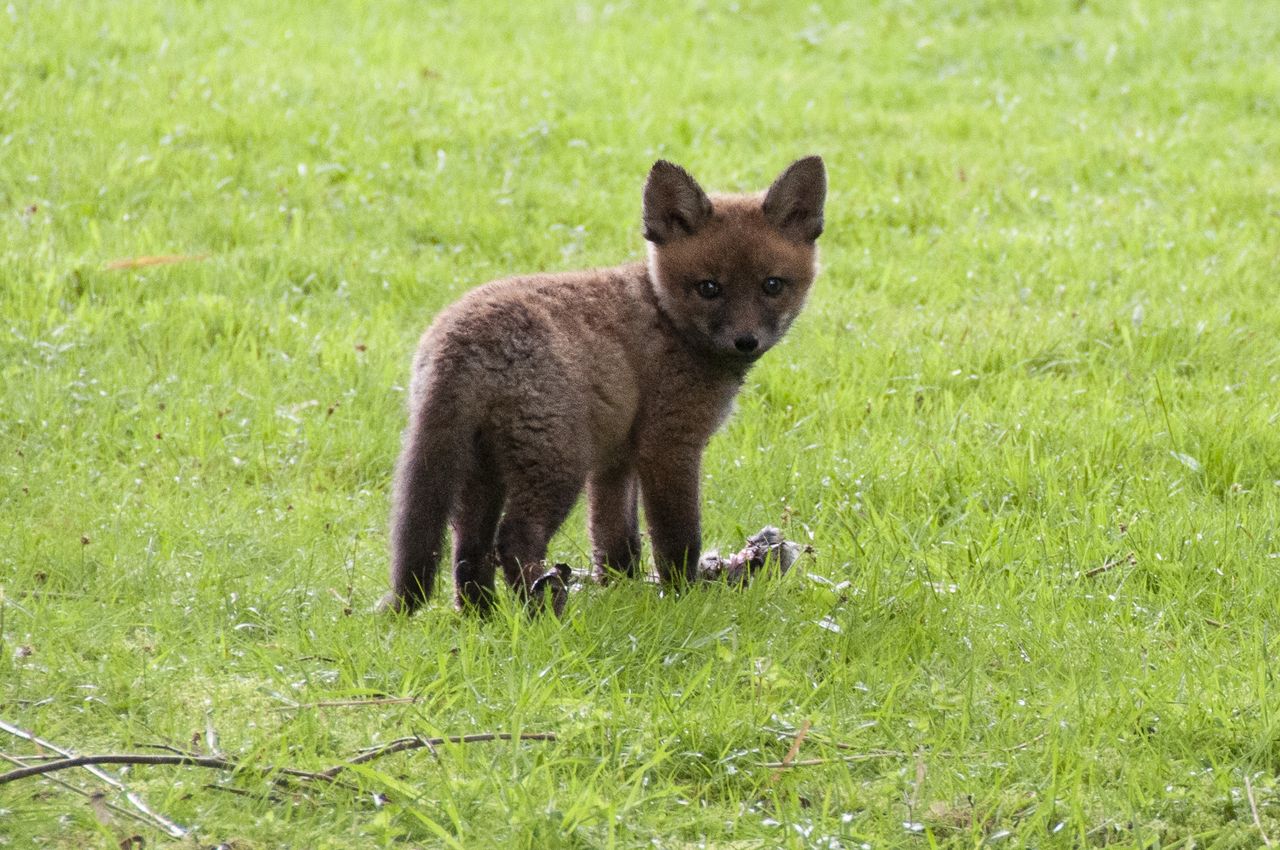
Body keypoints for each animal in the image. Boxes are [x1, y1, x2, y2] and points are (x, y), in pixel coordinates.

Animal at [379, 155, 826, 615]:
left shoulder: (616, 462)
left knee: (468, 551)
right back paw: (543, 610)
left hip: (483, 474)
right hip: (558, 463)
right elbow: (677, 539)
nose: (746, 341)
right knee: (513, 539)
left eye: (772, 285)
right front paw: (682, 600)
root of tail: (459, 338)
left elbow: (616, 543)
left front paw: (623, 595)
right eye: (708, 288)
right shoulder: (668, 447)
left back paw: (483, 618)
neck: (665, 315)